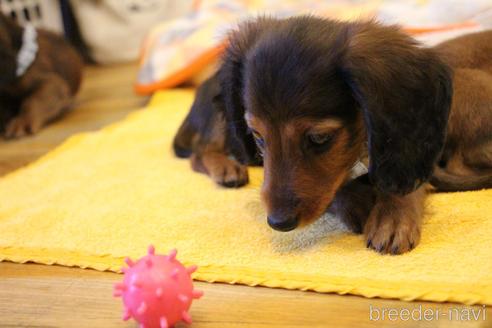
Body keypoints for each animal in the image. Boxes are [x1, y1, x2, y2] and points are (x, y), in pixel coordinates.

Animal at [174, 16, 492, 255]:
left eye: (319, 138)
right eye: (257, 136)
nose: (278, 222)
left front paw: (393, 216)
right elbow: (335, 189)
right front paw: (360, 204)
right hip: (219, 119)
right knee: (199, 154)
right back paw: (226, 168)